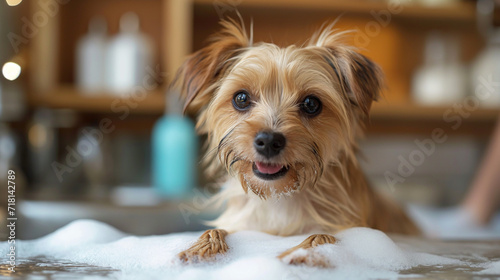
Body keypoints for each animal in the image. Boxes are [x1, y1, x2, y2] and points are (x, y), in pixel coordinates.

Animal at [174, 19, 420, 264]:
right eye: (241, 98)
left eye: (311, 104)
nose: (269, 141)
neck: (279, 198)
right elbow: (215, 231)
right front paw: (202, 248)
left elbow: (320, 236)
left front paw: (299, 256)